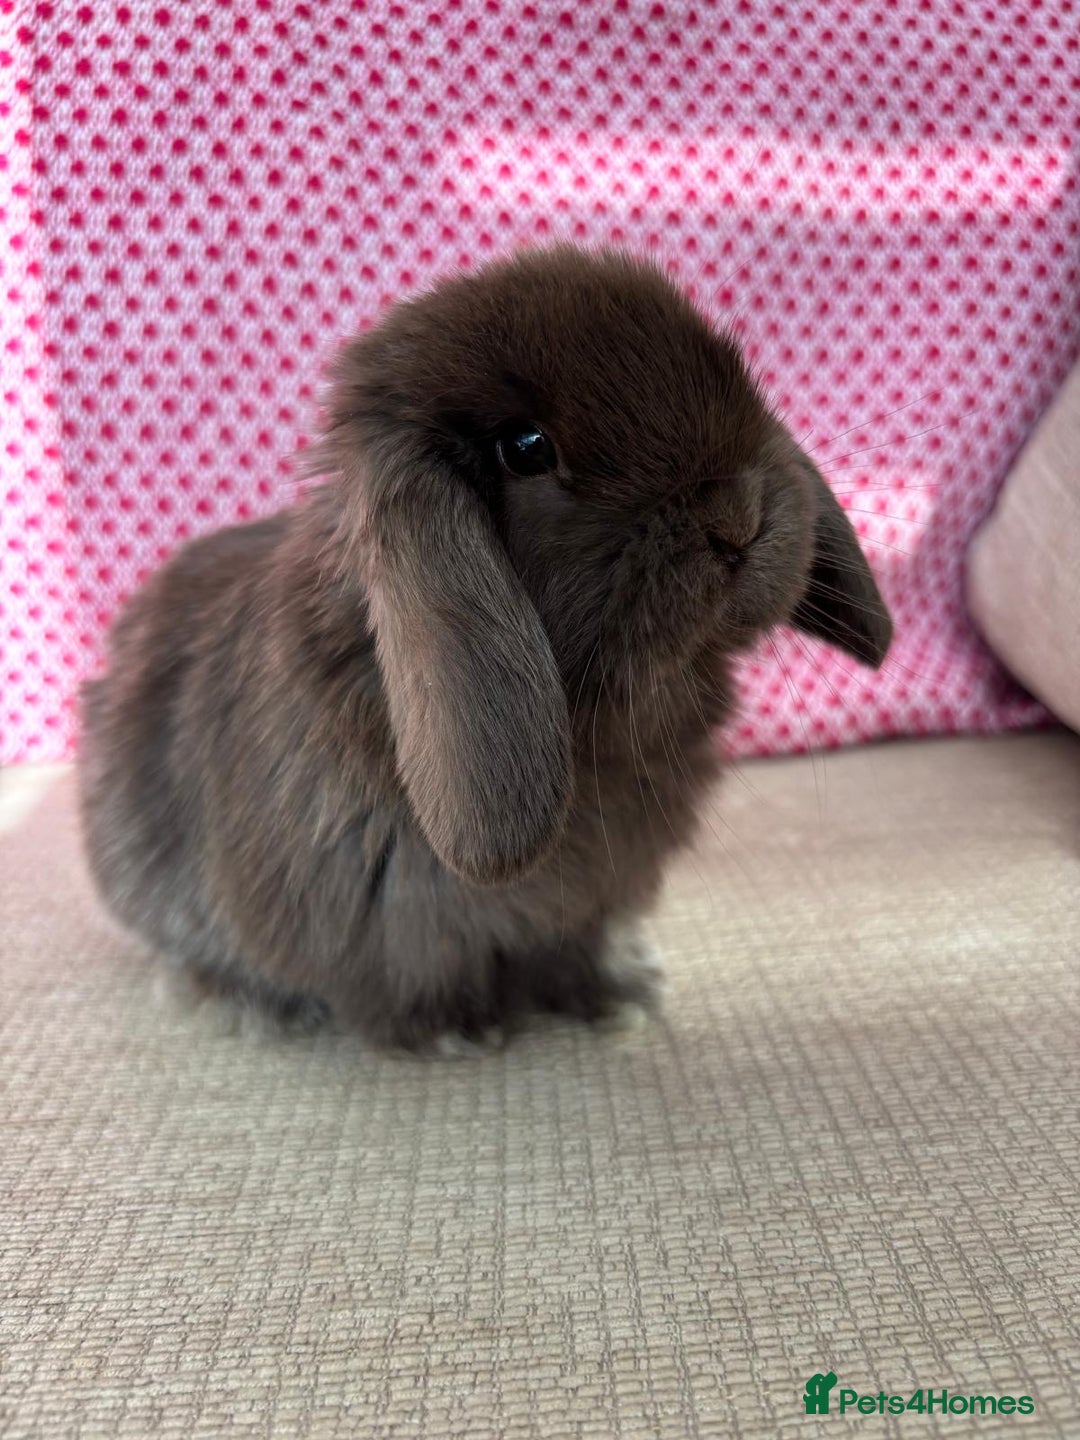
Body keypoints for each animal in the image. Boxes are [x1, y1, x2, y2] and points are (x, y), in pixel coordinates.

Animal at [78, 245, 892, 1052]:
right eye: (525, 448)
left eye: (730, 364)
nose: (738, 517)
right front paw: (459, 1032)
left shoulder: (590, 899)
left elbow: (574, 949)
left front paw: (615, 996)